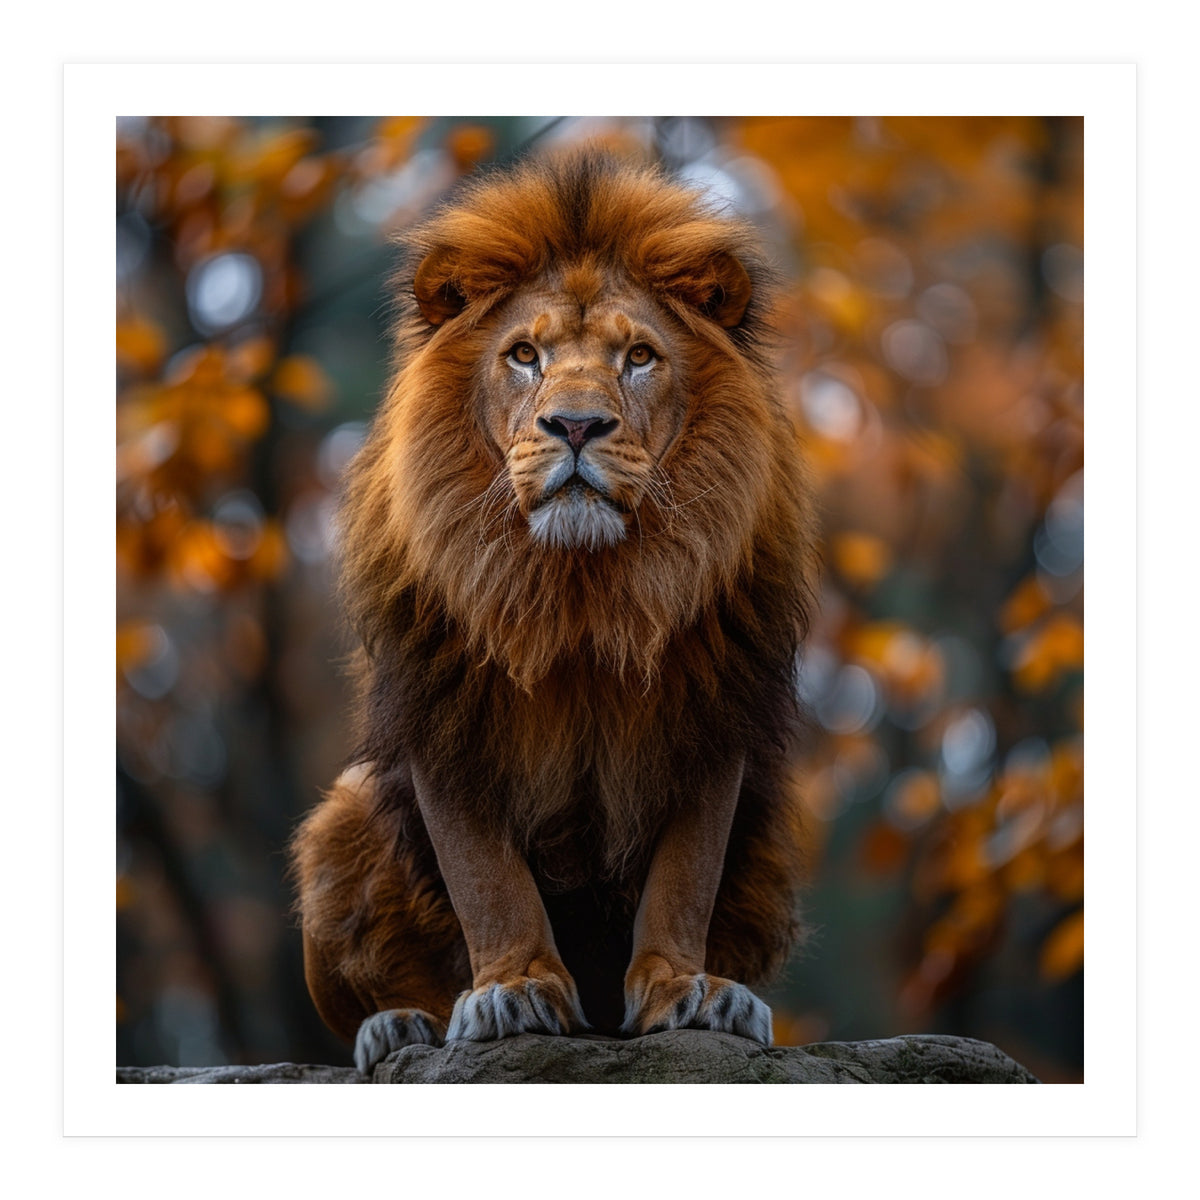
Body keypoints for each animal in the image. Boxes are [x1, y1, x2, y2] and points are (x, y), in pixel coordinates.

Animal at [289, 146, 820, 1074]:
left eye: (639, 356)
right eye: (525, 354)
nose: (575, 425)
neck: (580, 593)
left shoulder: (714, 711)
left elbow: (686, 875)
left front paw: (687, 990)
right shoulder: (442, 711)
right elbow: (485, 878)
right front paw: (513, 991)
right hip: (338, 817)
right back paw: (400, 1024)